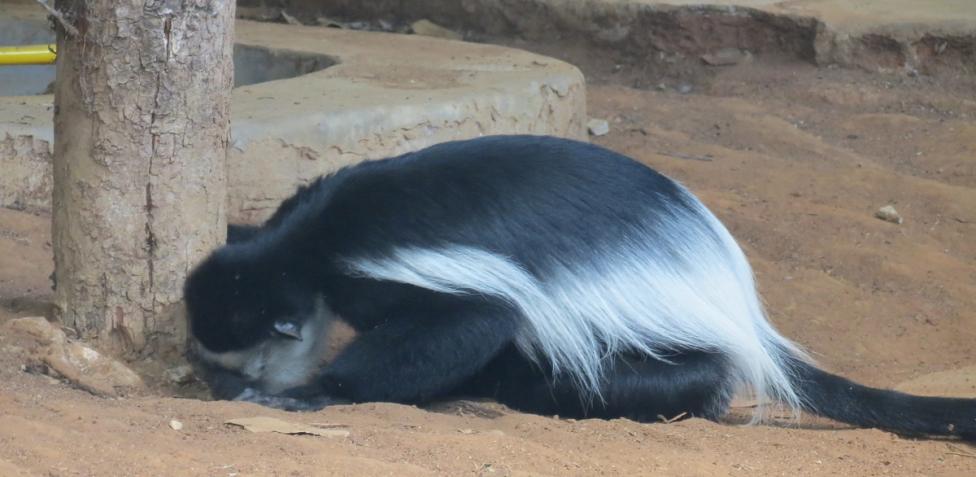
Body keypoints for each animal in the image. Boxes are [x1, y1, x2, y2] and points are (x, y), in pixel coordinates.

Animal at [185, 133, 976, 438]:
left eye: (250, 357)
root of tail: (738, 302)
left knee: (622, 380)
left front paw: (311, 393)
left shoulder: (384, 270)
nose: (229, 382)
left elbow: (474, 320)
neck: (308, 239)